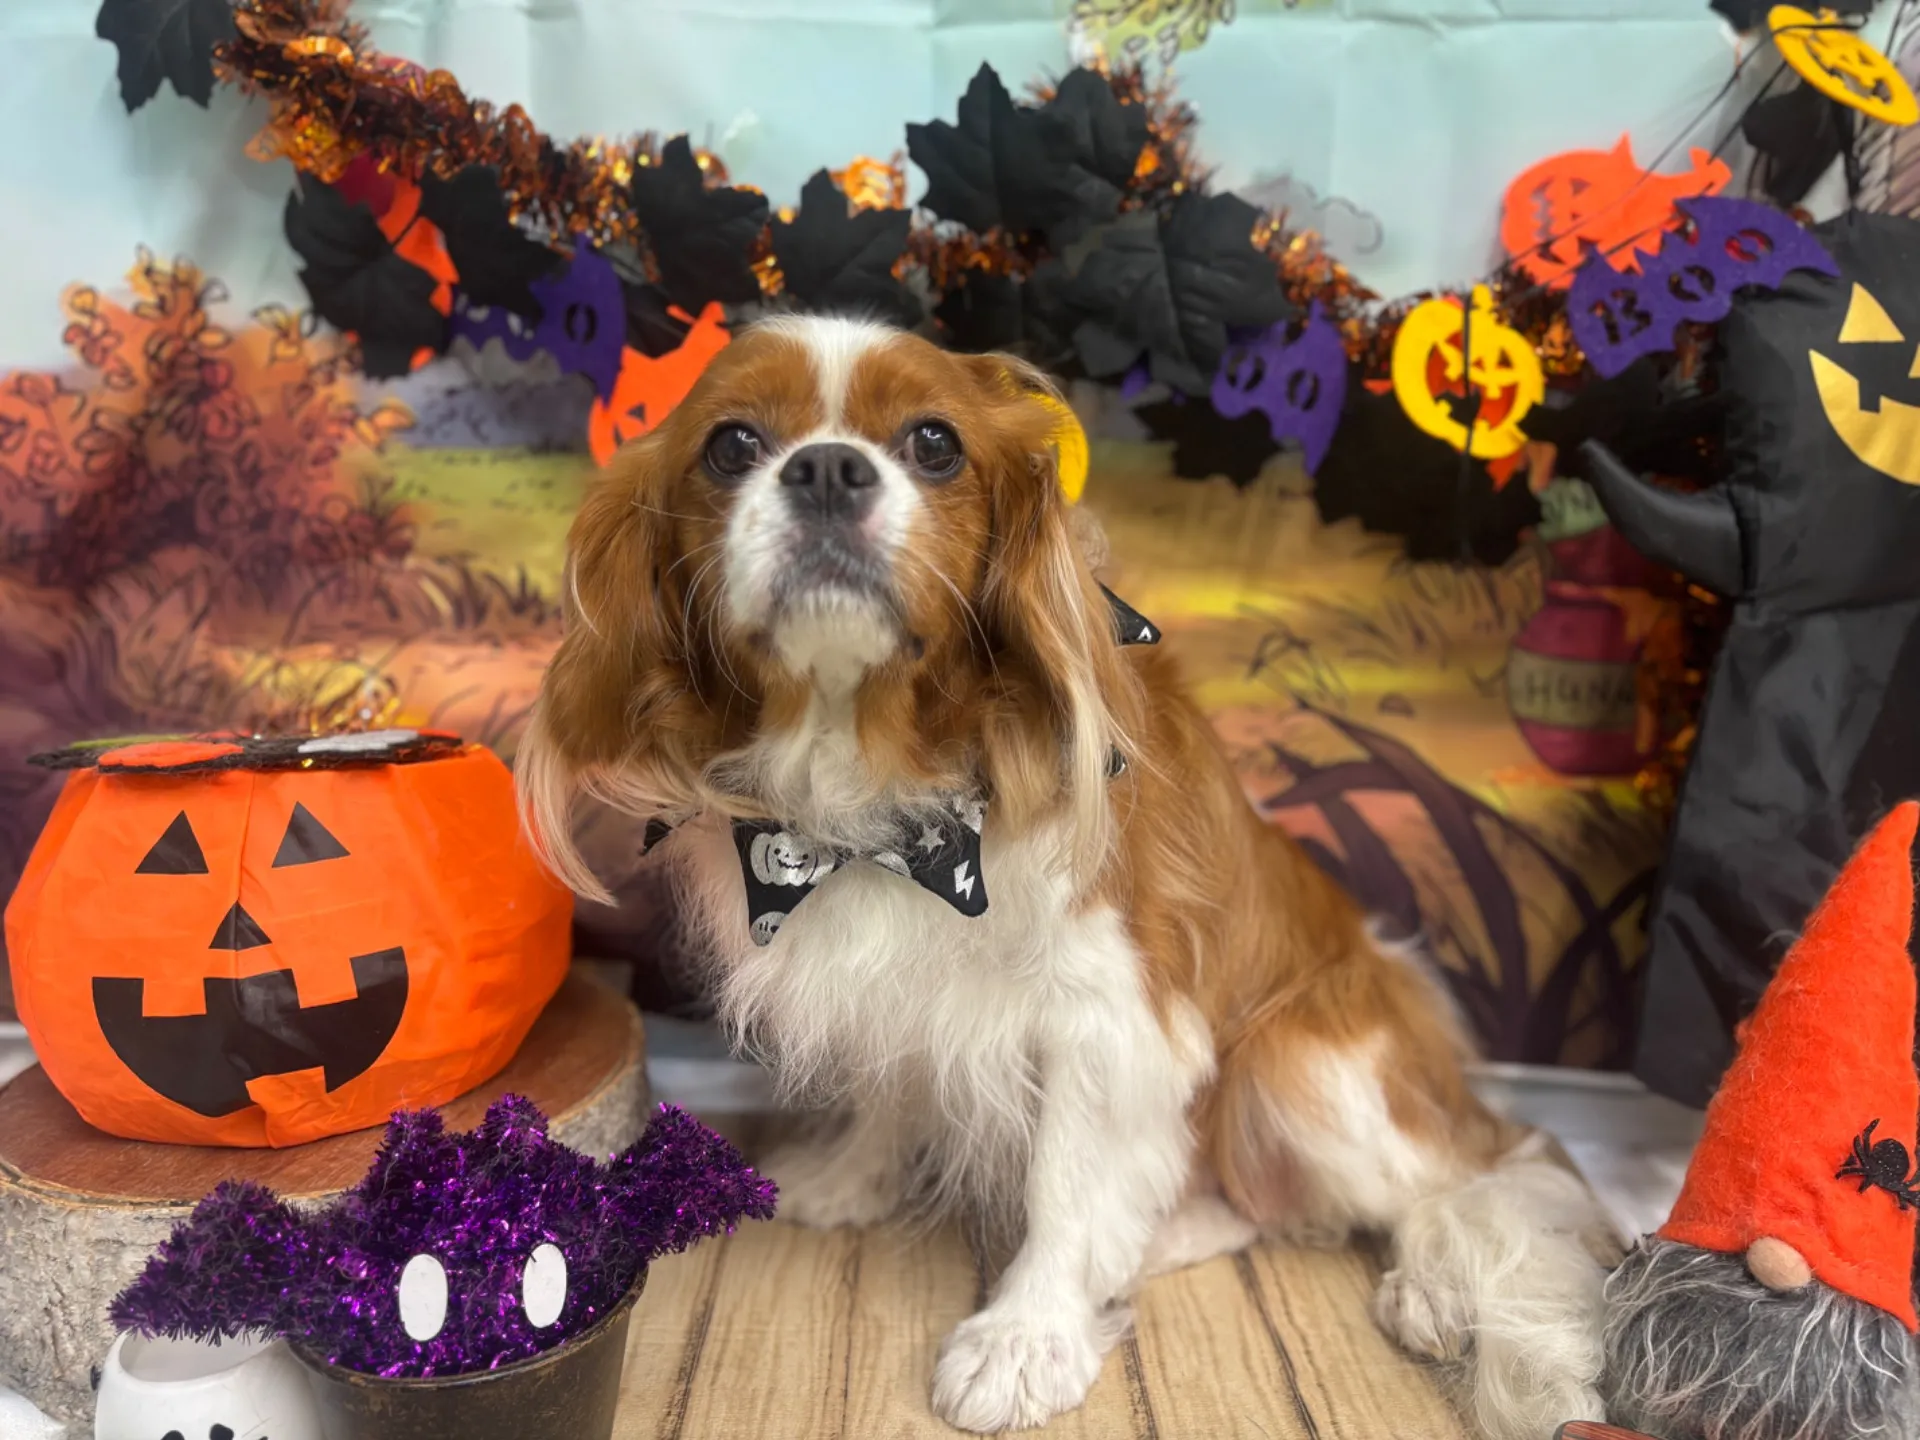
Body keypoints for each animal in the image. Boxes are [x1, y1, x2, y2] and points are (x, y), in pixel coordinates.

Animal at [517, 315, 1609, 1437]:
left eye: (935, 443)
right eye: (732, 445)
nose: (825, 468)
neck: (881, 782)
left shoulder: (1109, 1017)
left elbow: (1067, 1183)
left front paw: (1027, 1334)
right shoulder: (892, 980)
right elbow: (893, 1086)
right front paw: (855, 1174)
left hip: (1306, 1071)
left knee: (1492, 1170)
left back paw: (1432, 1283)